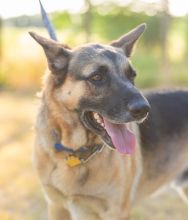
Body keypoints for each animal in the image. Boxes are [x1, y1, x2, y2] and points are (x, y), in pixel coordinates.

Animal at [29, 23, 188, 219]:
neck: (76, 152)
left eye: (132, 76)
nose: (144, 109)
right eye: (97, 77)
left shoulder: (116, 211)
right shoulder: (56, 206)